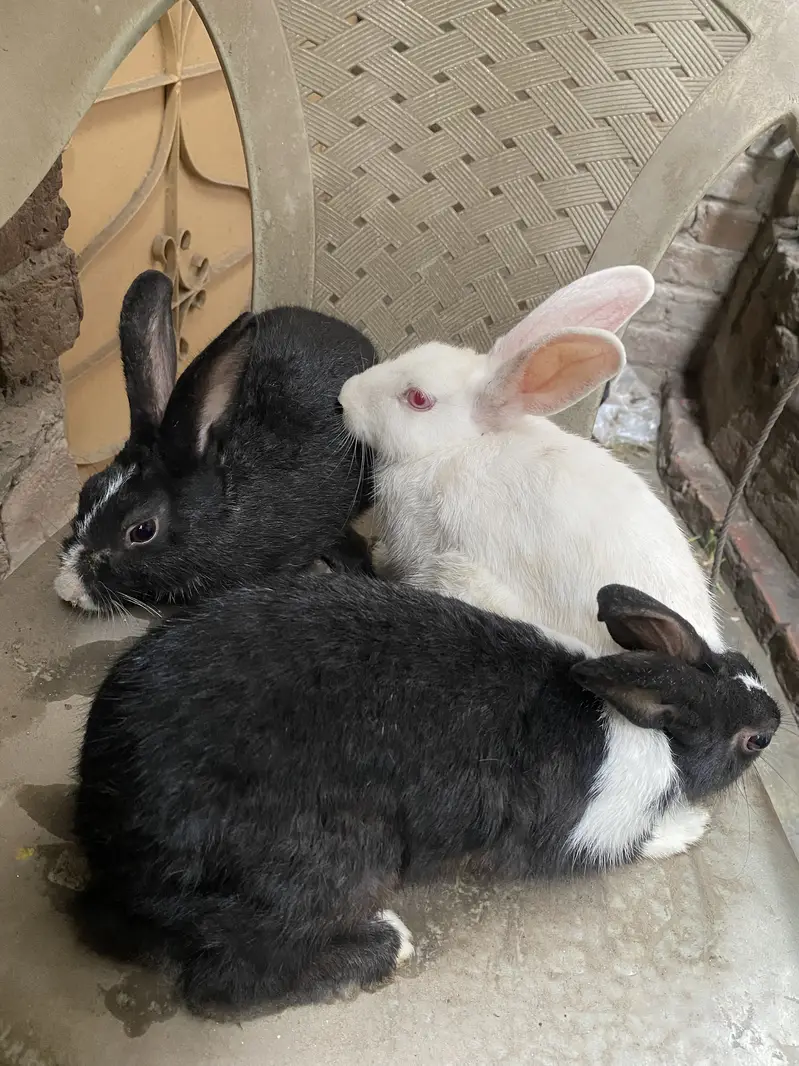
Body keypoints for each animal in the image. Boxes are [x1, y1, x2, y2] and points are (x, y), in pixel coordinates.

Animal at [73, 572, 779, 1014]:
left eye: (743, 666)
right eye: (753, 742)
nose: (776, 717)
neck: (655, 734)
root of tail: (110, 833)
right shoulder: (582, 831)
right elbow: (635, 841)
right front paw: (689, 828)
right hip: (330, 865)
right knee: (228, 981)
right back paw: (388, 944)